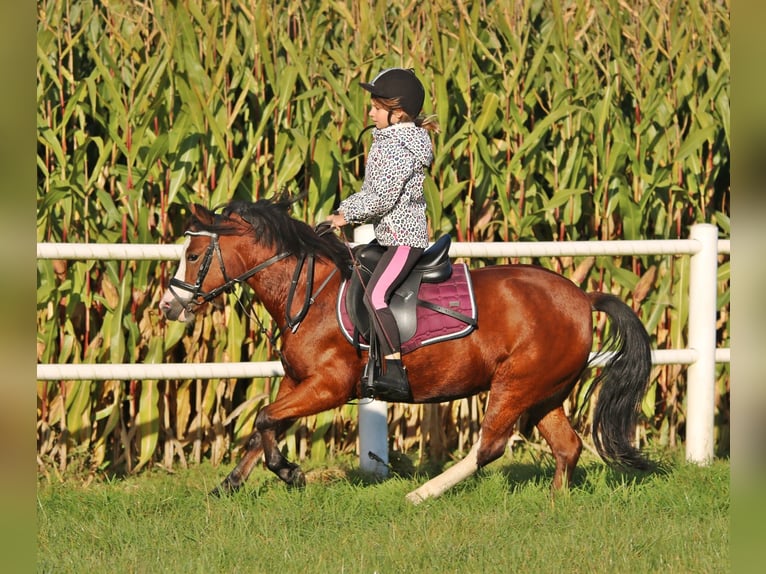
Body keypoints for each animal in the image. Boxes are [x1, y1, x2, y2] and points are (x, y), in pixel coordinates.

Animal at [160, 198, 656, 504]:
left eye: (194, 254)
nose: (168, 305)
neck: (309, 293)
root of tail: (583, 297)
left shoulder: (329, 386)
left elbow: (265, 419)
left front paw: (289, 472)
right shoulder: (298, 382)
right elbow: (263, 425)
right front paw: (229, 485)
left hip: (514, 386)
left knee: (490, 446)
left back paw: (421, 494)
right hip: (544, 393)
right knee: (567, 447)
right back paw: (555, 503)